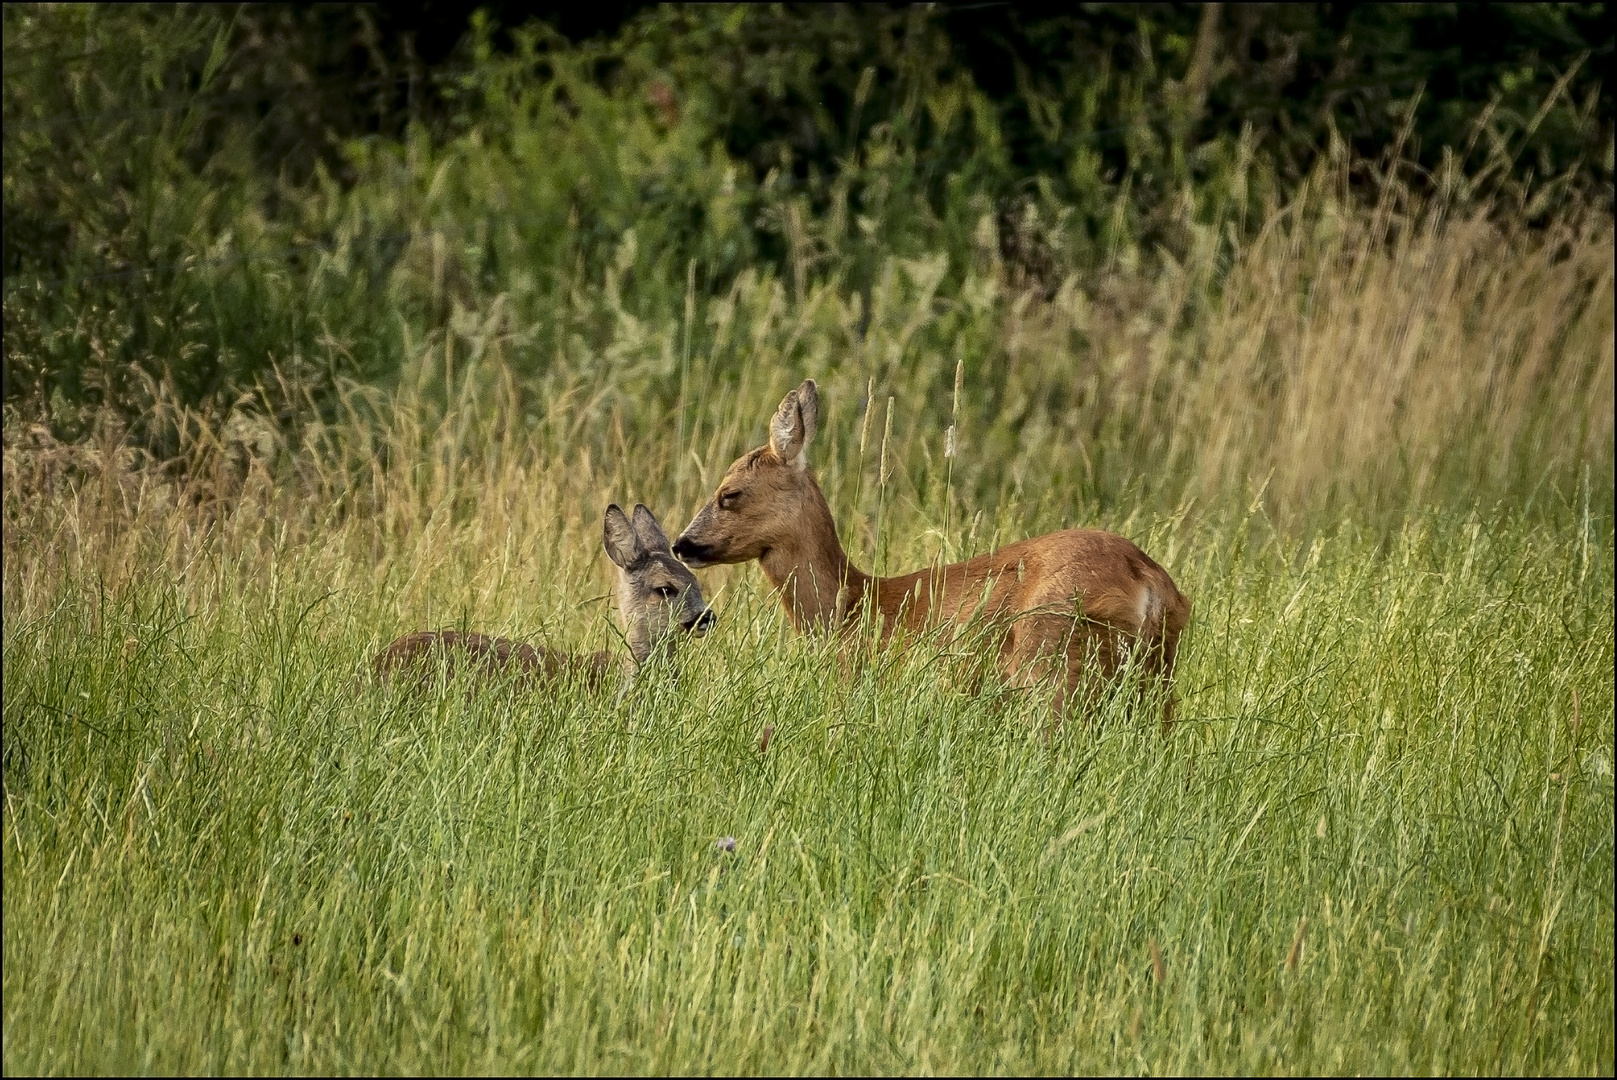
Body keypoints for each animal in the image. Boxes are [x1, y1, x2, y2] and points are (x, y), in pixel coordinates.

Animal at [669, 379, 1190, 724]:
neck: (852, 607)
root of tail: (1148, 580)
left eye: (729, 493)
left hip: (1053, 664)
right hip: (1155, 680)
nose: (682, 543)